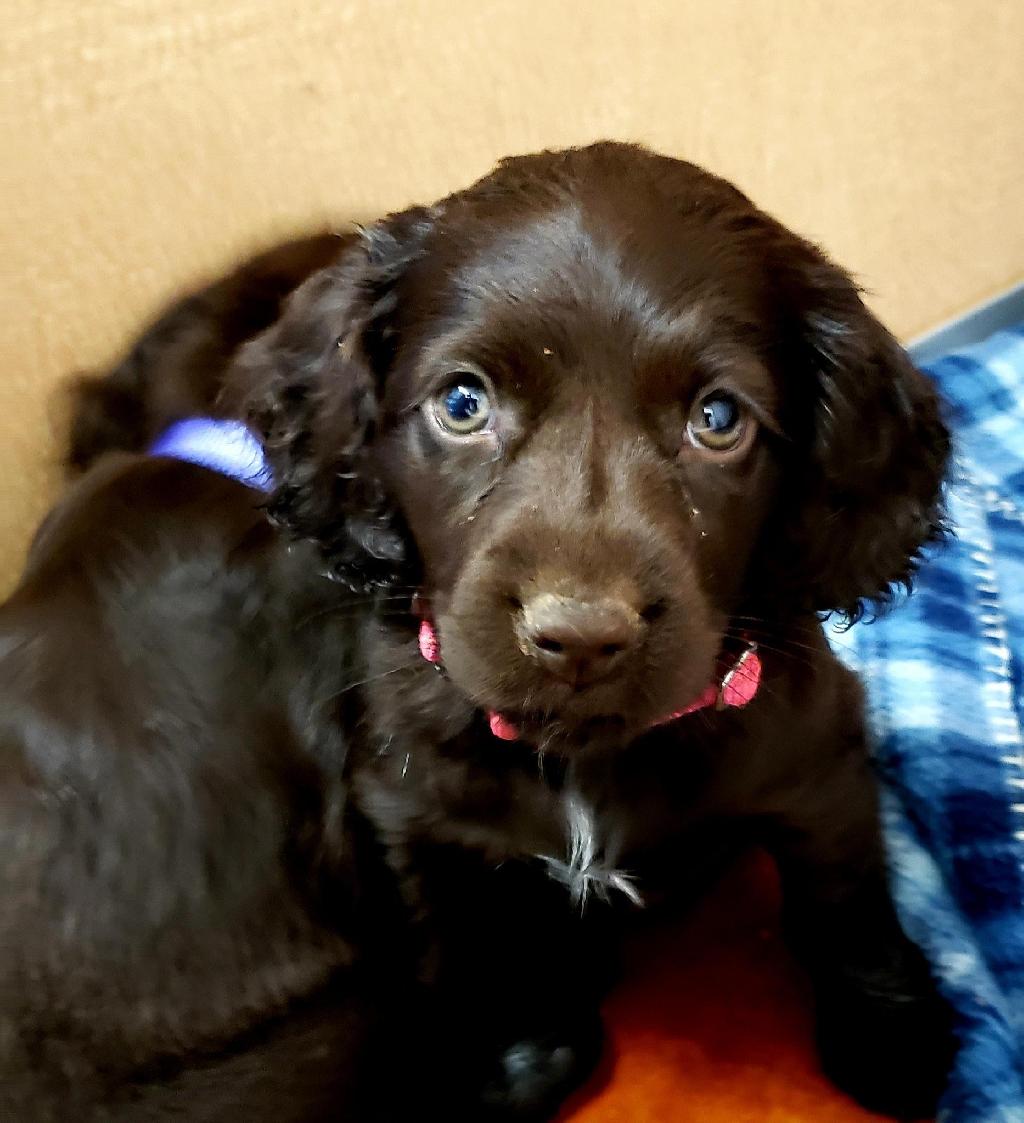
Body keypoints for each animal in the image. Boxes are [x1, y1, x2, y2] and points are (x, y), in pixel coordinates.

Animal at [4, 144, 956, 1118]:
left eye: (718, 420)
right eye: (462, 404)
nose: (581, 636)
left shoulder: (817, 755)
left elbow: (844, 893)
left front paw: (892, 1033)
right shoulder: (411, 812)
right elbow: (458, 935)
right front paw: (520, 1047)